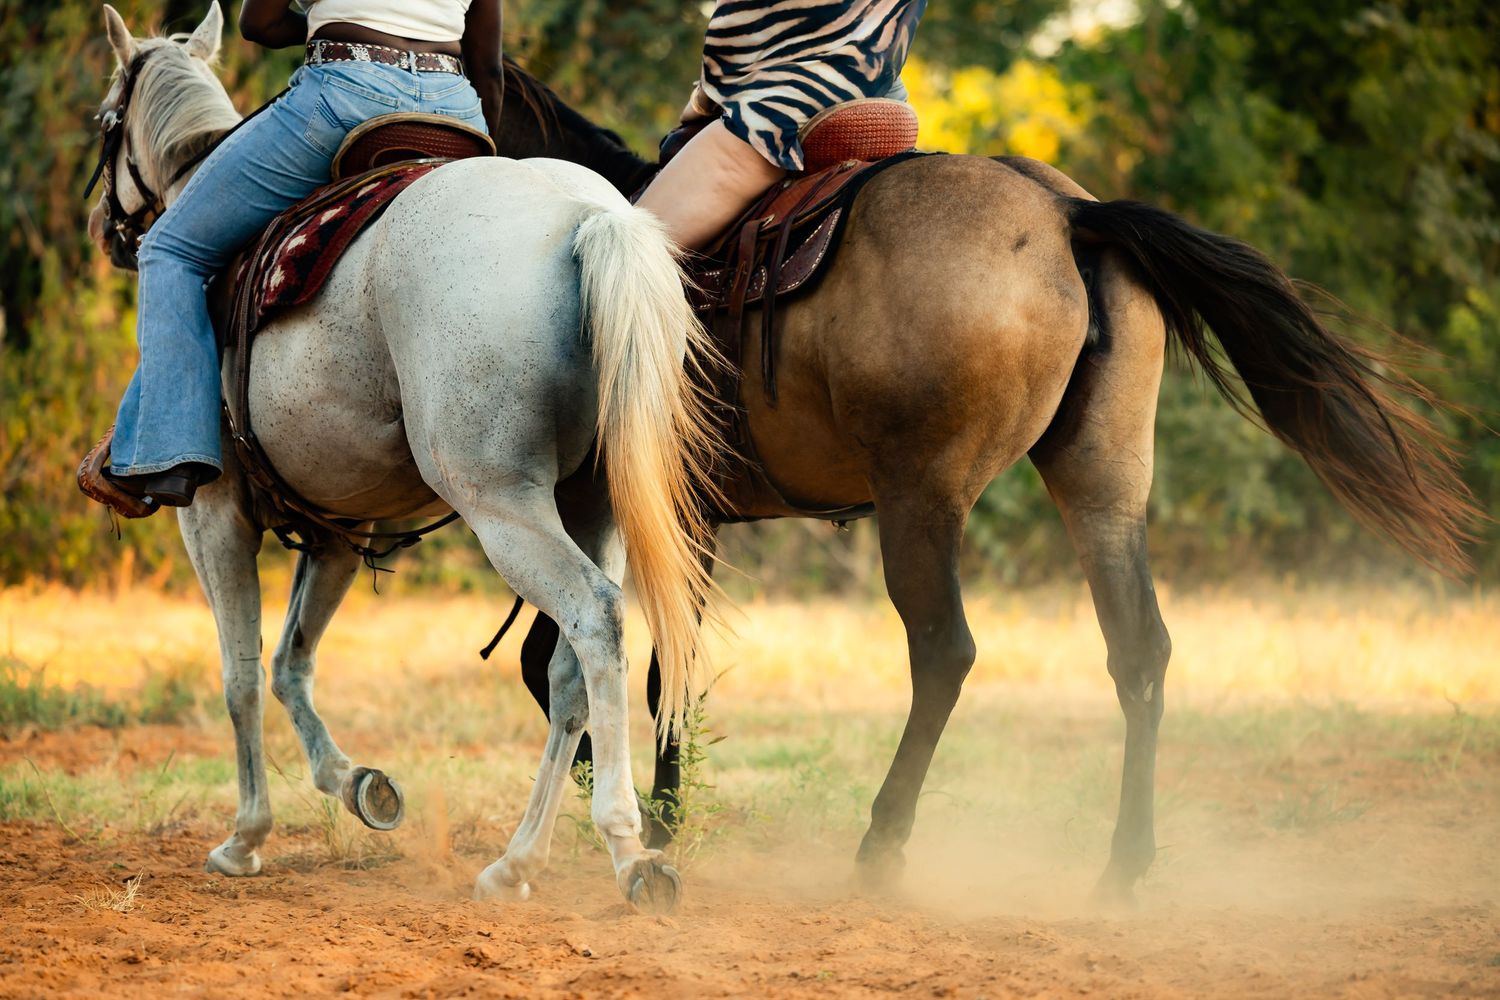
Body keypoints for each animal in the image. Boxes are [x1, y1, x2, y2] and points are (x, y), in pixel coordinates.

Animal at [87, 4, 722, 912]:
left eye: (107, 122)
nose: (106, 229)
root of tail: (581, 217)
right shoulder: (339, 528)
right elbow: (290, 663)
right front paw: (358, 785)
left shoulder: (213, 514)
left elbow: (240, 673)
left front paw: (245, 837)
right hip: (592, 503)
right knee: (570, 666)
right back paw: (515, 863)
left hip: (501, 502)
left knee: (596, 619)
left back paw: (629, 850)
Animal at [493, 61, 1479, 904]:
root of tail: (1067, 215)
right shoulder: (674, 520)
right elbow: (626, 664)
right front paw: (638, 810)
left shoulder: (650, 515)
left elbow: (611, 663)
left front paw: (644, 817)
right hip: (1103, 487)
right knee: (1140, 651)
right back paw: (1124, 866)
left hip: (921, 502)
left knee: (945, 652)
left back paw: (884, 844)